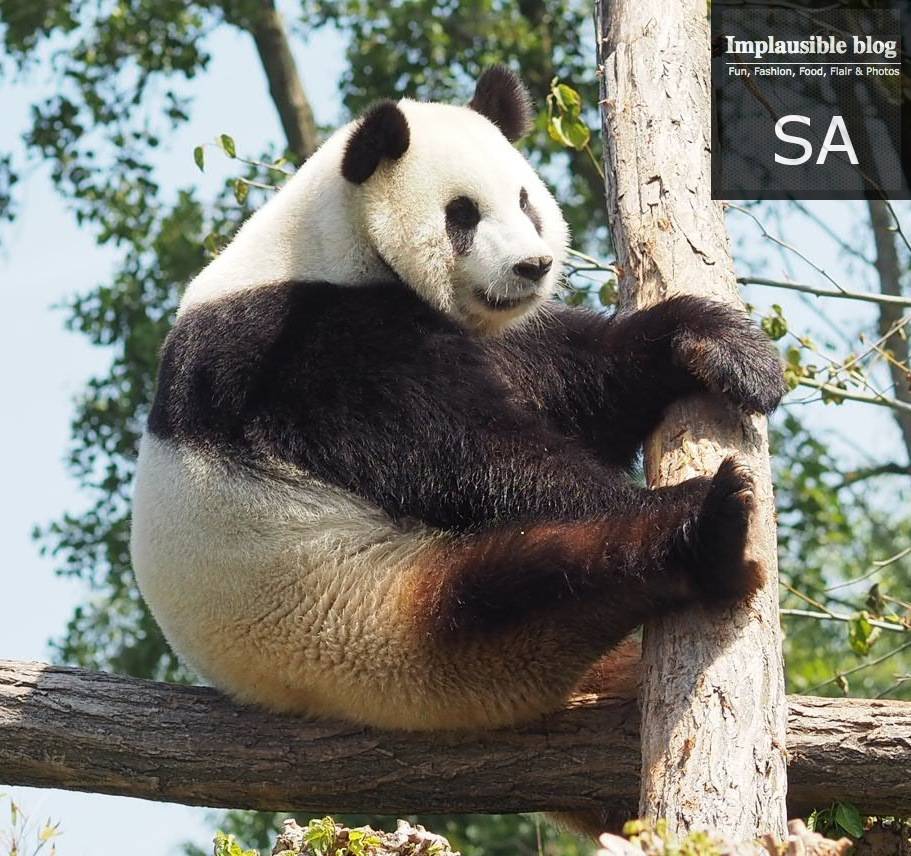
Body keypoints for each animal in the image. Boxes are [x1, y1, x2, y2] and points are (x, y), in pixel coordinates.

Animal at [131, 67, 786, 740]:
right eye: (462, 214)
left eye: (524, 200)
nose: (532, 266)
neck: (336, 240)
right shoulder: (304, 347)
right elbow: (462, 454)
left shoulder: (494, 331)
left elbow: (582, 381)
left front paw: (724, 349)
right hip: (366, 609)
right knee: (543, 578)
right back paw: (708, 527)